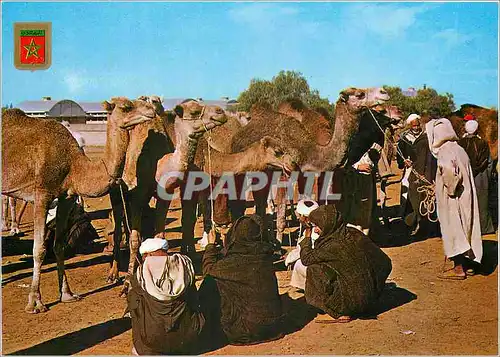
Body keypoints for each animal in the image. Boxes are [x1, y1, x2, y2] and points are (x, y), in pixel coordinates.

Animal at [1, 97, 158, 312]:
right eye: (126, 107)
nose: (152, 109)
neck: (74, 165)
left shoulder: (66, 197)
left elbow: (59, 245)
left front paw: (67, 294)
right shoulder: (42, 194)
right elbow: (39, 249)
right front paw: (35, 302)